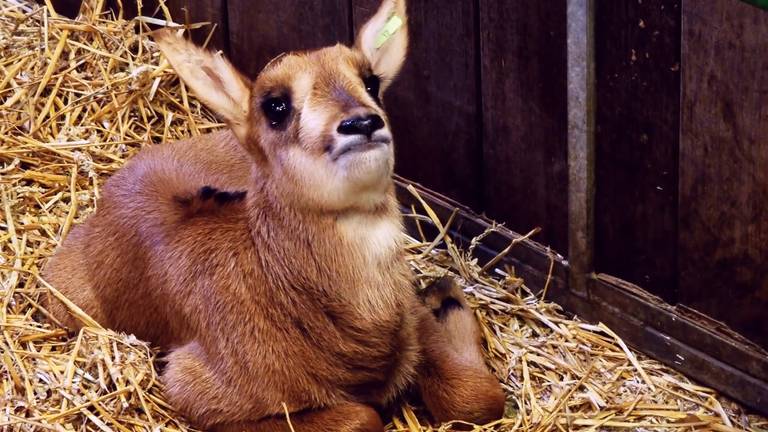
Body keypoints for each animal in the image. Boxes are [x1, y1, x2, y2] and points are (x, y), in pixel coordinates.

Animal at [45, 1, 508, 430]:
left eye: (371, 81)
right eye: (276, 106)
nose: (361, 123)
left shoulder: (408, 311)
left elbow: (479, 398)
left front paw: (446, 298)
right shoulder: (194, 389)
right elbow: (364, 417)